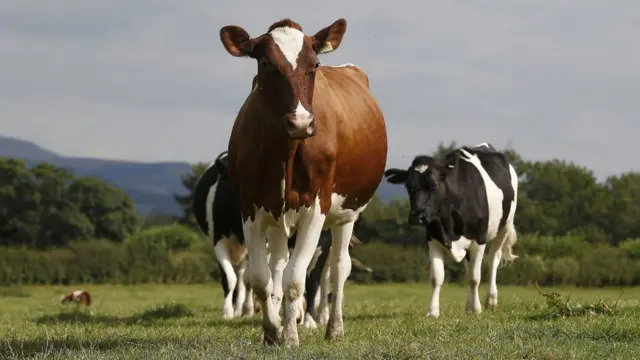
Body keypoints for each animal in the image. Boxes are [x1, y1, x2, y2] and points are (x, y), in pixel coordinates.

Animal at [220, 18, 388, 348]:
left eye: (315, 65)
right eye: (265, 62)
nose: (300, 122)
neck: (286, 153)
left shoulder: (316, 208)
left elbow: (295, 279)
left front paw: (289, 335)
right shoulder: (250, 208)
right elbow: (261, 279)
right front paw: (272, 330)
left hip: (347, 214)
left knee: (339, 268)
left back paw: (334, 328)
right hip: (279, 216)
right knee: (277, 265)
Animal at [382, 143, 516, 318]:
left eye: (433, 185)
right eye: (408, 187)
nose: (417, 216)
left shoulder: (478, 240)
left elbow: (474, 278)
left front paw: (476, 309)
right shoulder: (433, 239)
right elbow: (437, 277)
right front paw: (433, 311)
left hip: (505, 225)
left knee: (494, 258)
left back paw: (491, 300)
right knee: (469, 266)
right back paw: (468, 304)